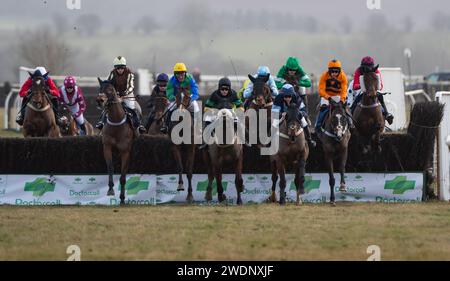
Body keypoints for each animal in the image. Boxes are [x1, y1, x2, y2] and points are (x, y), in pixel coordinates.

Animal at [96, 77, 135, 205]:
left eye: (110, 90)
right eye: (100, 89)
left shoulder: (125, 151)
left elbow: (123, 176)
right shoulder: (107, 147)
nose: (100, 100)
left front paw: (122, 197)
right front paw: (110, 189)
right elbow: (110, 168)